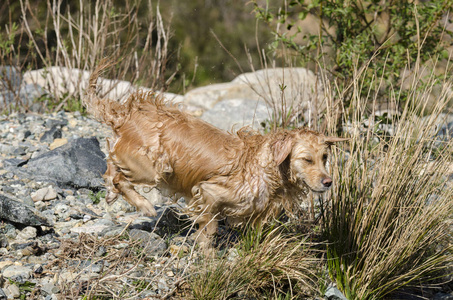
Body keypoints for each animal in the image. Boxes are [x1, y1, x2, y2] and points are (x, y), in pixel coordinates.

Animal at [84, 63, 346, 246]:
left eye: (324, 158)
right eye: (307, 159)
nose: (328, 182)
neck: (267, 168)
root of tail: (126, 113)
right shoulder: (208, 192)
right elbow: (209, 228)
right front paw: (208, 255)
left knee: (111, 167)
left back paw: (112, 193)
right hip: (153, 169)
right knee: (119, 176)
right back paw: (145, 206)